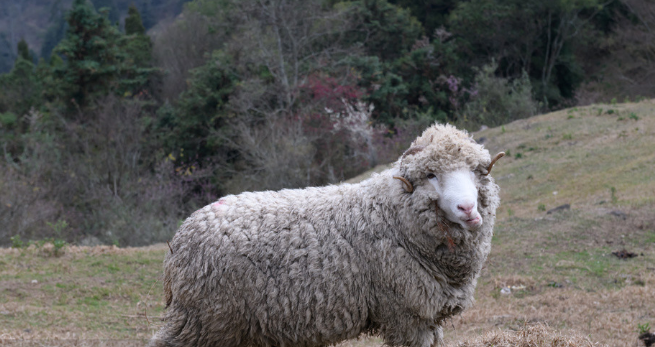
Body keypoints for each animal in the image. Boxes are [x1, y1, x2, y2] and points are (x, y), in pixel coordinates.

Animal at [151, 123, 504, 347]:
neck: (390, 214)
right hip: (204, 319)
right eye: (430, 174)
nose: (467, 209)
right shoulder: (405, 313)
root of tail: (179, 239)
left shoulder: (426, 316)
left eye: (476, 171)